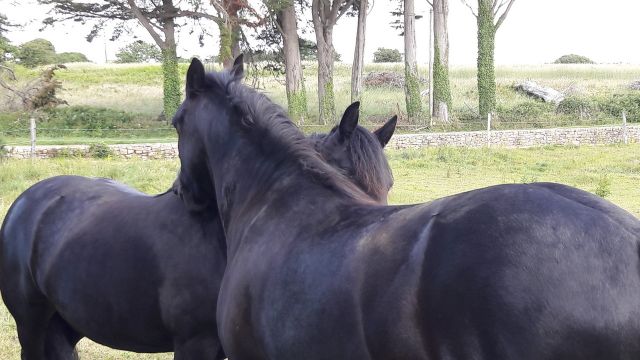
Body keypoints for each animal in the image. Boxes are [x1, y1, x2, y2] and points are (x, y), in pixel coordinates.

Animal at [0, 102, 398, 360]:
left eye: (388, 183)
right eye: (344, 176)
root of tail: (30, 199)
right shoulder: (196, 344)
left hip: (65, 323)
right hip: (31, 324)